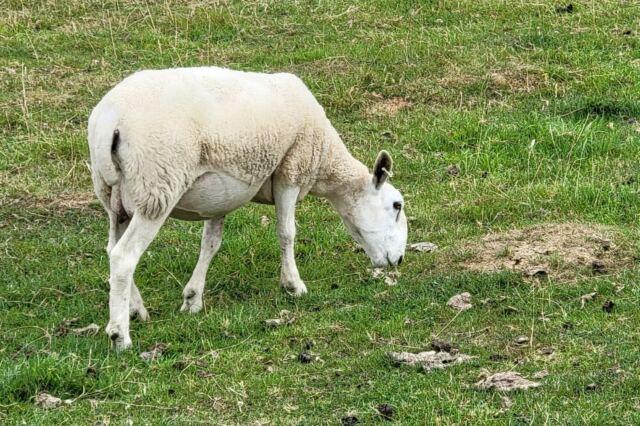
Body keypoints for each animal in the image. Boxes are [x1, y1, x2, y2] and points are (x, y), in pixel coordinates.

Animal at [88, 67, 408, 350]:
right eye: (397, 205)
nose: (399, 260)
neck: (325, 162)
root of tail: (109, 121)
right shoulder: (290, 169)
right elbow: (287, 233)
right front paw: (293, 285)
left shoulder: (218, 199)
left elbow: (211, 244)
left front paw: (193, 298)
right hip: (157, 186)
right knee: (124, 256)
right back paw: (120, 335)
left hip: (113, 196)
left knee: (112, 248)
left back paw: (135, 309)